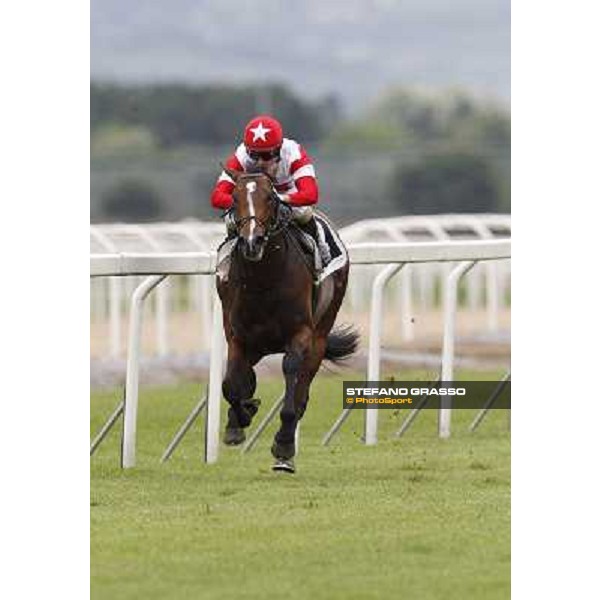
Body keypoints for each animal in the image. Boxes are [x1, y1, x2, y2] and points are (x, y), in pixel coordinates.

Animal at [214, 169, 356, 474]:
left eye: (270, 197)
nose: (252, 242)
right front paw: (241, 418)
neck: (263, 280)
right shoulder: (238, 336)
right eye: (234, 197)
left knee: (302, 393)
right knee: (245, 376)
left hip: (319, 336)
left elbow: (291, 384)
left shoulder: (300, 335)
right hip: (258, 344)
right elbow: (230, 384)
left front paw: (283, 446)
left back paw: (286, 451)